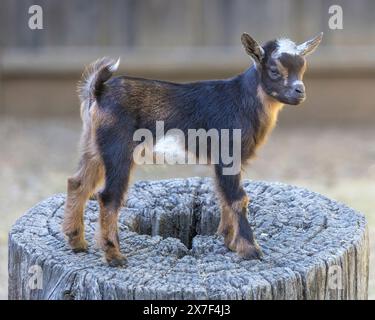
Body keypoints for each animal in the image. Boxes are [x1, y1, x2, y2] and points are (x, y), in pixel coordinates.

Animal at [62, 33, 324, 268]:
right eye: (273, 69)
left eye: (303, 67)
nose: (300, 91)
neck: (243, 99)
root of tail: (98, 90)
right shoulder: (228, 153)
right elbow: (238, 198)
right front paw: (250, 250)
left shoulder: (226, 160)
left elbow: (223, 194)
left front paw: (229, 241)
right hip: (117, 149)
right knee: (108, 196)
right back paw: (114, 256)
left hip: (93, 147)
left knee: (78, 182)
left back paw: (77, 242)